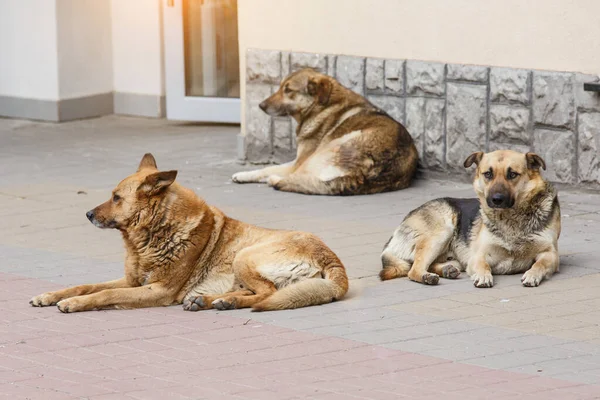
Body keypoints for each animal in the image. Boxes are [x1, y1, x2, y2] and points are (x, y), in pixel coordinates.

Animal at [30, 153, 350, 312]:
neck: (154, 233)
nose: (88, 214)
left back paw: (224, 302)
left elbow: (105, 294)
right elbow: (85, 285)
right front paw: (51, 295)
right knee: (258, 292)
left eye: (116, 198)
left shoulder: (157, 290)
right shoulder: (132, 281)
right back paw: (212, 301)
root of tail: (333, 260)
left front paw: (72, 304)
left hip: (244, 256)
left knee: (267, 294)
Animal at [232, 68, 420, 196]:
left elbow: (269, 168)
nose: (260, 105)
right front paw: (243, 175)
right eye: (279, 88)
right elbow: (266, 169)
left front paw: (245, 174)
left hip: (325, 151)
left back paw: (275, 180)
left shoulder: (299, 162)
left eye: (288, 90)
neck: (322, 105)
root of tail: (363, 175)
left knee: (297, 178)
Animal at [382, 150, 560, 288]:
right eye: (488, 174)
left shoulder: (550, 254)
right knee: (413, 270)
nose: (496, 199)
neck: (510, 219)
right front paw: (483, 276)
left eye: (512, 174)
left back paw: (446, 270)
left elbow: (539, 264)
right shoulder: (478, 256)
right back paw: (428, 276)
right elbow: (483, 265)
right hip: (442, 231)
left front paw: (532, 274)